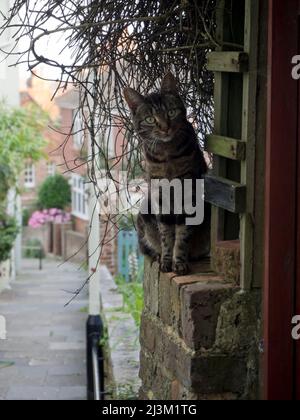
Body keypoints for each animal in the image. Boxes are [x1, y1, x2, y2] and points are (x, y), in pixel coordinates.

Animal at [123, 72, 210, 276]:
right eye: (150, 119)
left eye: (171, 112)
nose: (165, 128)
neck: (167, 155)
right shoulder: (160, 196)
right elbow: (166, 234)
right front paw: (166, 261)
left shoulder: (188, 193)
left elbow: (182, 234)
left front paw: (179, 263)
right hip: (144, 213)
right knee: (145, 247)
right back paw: (156, 255)